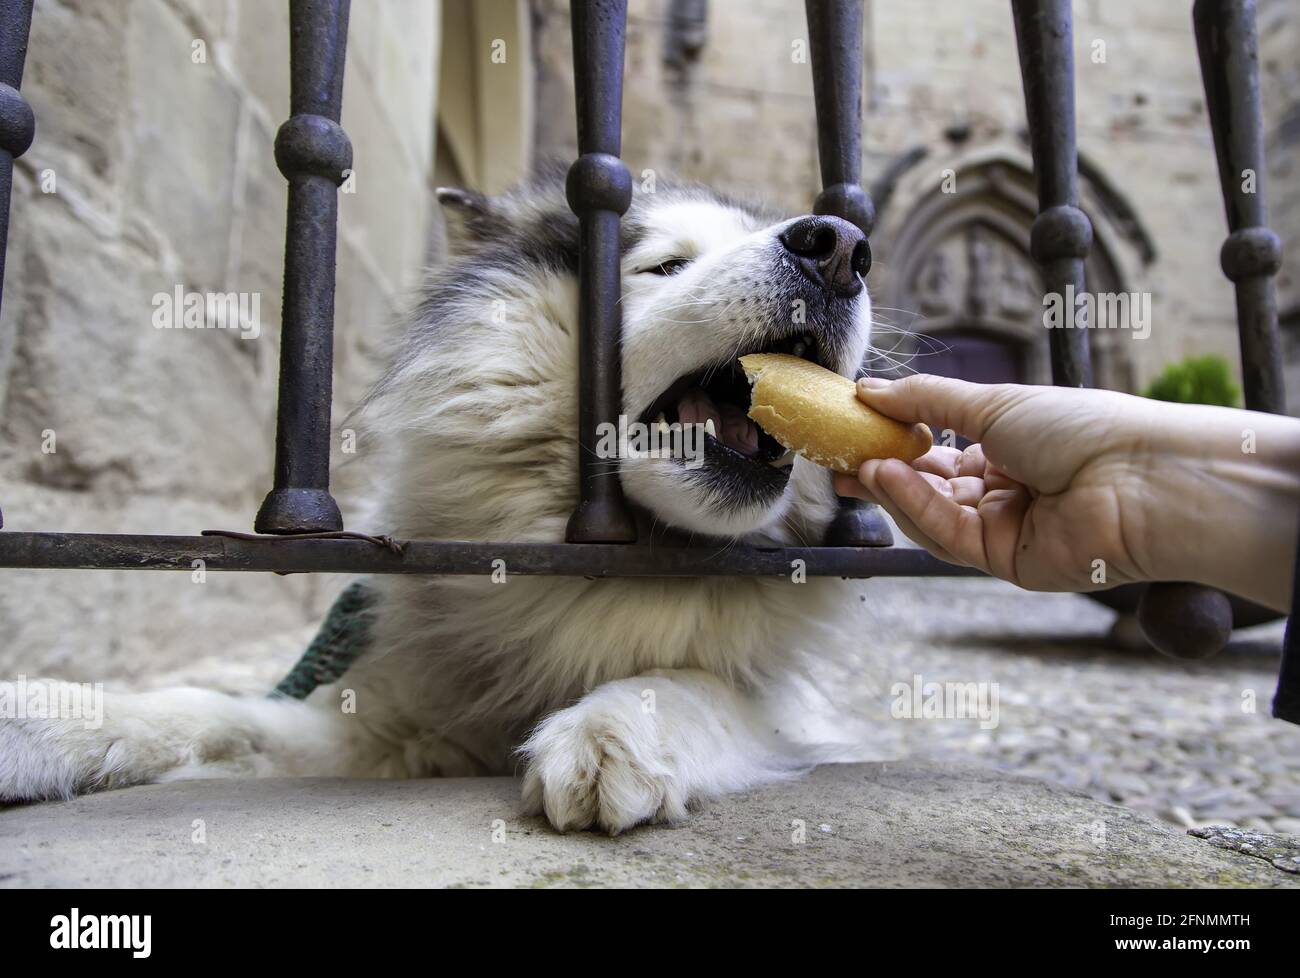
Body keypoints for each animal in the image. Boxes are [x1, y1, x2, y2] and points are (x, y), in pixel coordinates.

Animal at [0, 166, 878, 832]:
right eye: (664, 265)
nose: (839, 248)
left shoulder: (795, 718)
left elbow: (713, 688)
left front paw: (619, 727)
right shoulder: (387, 727)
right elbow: (220, 711)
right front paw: (52, 715)